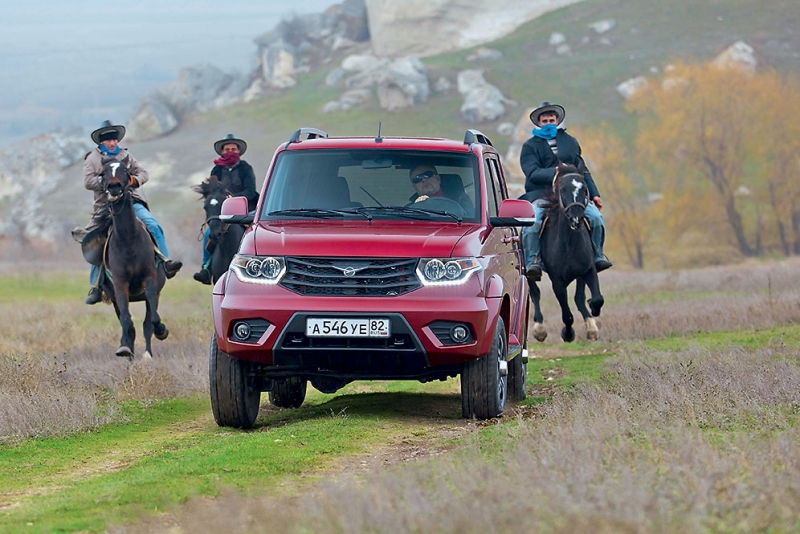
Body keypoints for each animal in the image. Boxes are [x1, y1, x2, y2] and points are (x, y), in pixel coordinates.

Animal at [97, 157, 168, 362]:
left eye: (125, 171)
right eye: (103, 172)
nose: (114, 187)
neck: (128, 238)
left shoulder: (150, 280)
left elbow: (152, 320)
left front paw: (161, 331)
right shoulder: (120, 285)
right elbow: (126, 320)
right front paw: (125, 349)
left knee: (148, 321)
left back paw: (147, 353)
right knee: (126, 322)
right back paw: (127, 351)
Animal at [528, 166, 604, 344]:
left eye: (584, 189)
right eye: (562, 189)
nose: (576, 218)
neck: (568, 244)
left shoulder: (588, 270)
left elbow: (596, 298)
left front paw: (593, 310)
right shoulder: (557, 282)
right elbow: (567, 315)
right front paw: (567, 334)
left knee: (578, 298)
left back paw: (591, 326)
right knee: (535, 293)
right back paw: (539, 329)